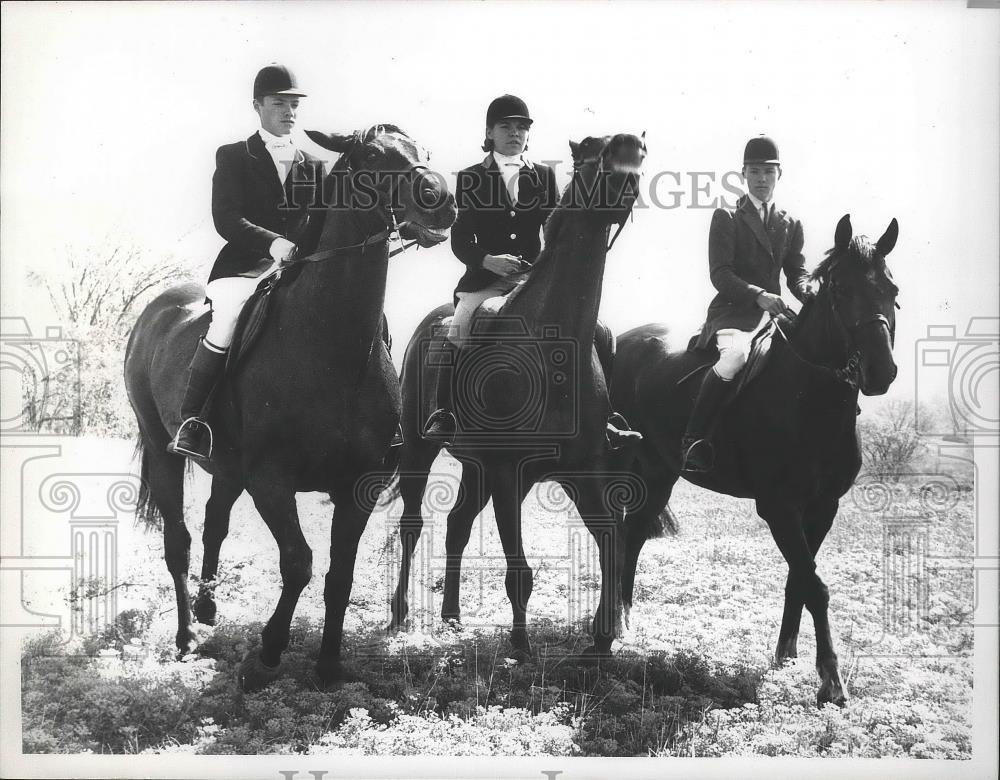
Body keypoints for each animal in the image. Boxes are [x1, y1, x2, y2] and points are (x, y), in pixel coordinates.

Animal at [123, 128, 458, 688]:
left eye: (423, 153)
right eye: (372, 156)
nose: (442, 200)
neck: (330, 345)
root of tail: (156, 309)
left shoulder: (359, 483)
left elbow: (340, 573)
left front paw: (328, 664)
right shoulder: (271, 479)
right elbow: (299, 562)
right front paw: (271, 649)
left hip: (227, 466)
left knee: (214, 522)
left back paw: (208, 609)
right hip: (163, 447)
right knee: (179, 541)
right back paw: (186, 635)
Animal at [384, 133, 648, 660]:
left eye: (638, 157)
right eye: (596, 156)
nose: (627, 181)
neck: (555, 346)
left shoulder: (582, 470)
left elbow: (612, 541)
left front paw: (603, 636)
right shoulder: (509, 470)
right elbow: (519, 569)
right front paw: (521, 648)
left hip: (479, 467)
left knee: (458, 525)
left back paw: (452, 617)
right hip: (424, 452)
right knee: (413, 525)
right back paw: (401, 616)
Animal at [608, 215, 900, 708]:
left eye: (892, 290)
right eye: (840, 289)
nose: (881, 372)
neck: (809, 398)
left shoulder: (823, 507)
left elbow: (800, 578)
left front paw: (786, 656)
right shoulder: (778, 507)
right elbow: (816, 585)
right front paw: (831, 681)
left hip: (660, 471)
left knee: (633, 536)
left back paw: (624, 621)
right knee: (619, 534)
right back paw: (611, 623)